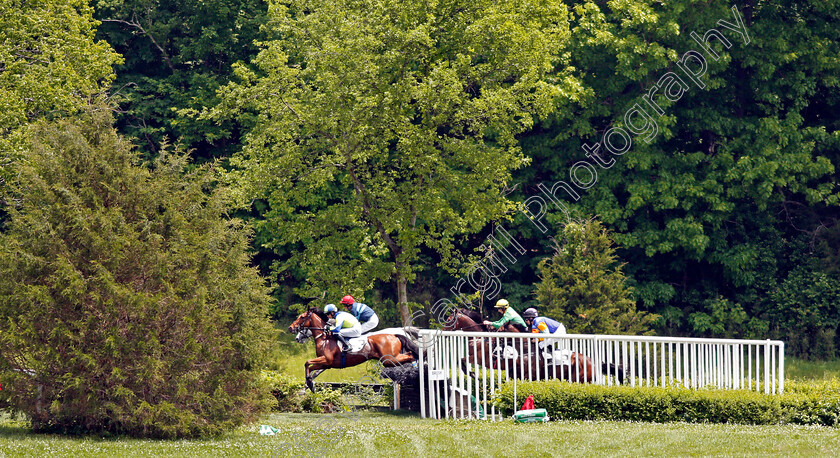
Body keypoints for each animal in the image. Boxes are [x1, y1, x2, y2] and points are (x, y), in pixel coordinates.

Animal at [288, 308, 420, 390]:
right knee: (409, 355)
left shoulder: (326, 360)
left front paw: (307, 387)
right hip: (390, 360)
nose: (291, 329)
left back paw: (415, 367)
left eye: (302, 317)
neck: (324, 337)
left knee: (410, 355)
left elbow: (307, 363)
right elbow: (310, 369)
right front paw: (310, 385)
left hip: (388, 359)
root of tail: (395, 334)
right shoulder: (326, 364)